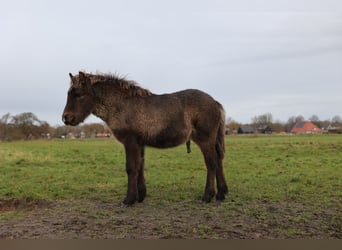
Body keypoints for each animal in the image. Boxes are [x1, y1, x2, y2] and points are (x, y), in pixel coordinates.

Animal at [62, 71, 228, 206]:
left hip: (205, 139)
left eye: (79, 94)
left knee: (212, 163)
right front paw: (140, 196)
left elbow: (131, 168)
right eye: (69, 93)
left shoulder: (130, 142)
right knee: (219, 160)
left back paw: (208, 196)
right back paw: (221, 194)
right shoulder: (139, 144)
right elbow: (140, 166)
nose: (66, 118)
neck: (122, 106)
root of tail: (215, 103)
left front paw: (128, 199)